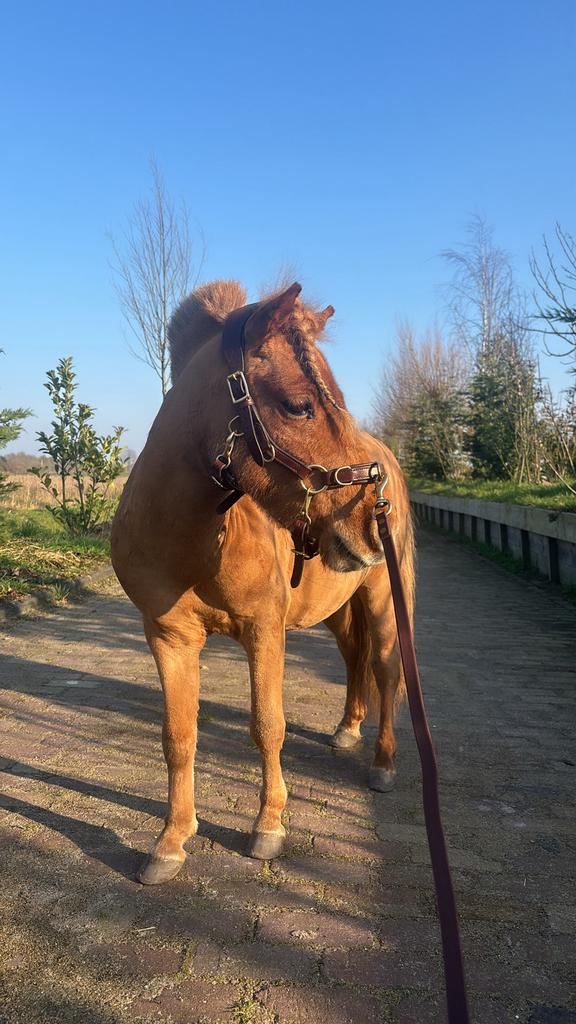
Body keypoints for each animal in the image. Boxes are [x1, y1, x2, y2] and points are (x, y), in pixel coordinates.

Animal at [111, 280, 415, 885]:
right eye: (299, 405)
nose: (372, 522)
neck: (191, 541)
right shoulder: (169, 637)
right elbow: (178, 736)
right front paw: (171, 841)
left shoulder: (264, 630)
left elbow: (268, 725)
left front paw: (268, 826)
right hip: (338, 610)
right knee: (355, 661)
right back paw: (347, 730)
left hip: (384, 601)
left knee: (387, 670)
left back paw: (382, 764)